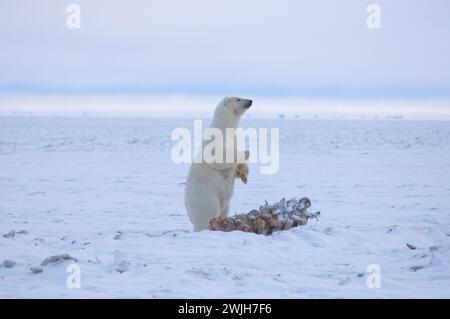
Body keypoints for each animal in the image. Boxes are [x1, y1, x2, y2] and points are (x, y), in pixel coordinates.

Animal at [184, 96, 253, 231]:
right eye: (238, 99)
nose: (250, 101)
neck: (223, 128)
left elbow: (236, 166)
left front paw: (244, 175)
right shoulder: (215, 142)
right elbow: (220, 158)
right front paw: (247, 152)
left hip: (224, 204)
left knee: (225, 209)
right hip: (207, 198)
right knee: (209, 213)